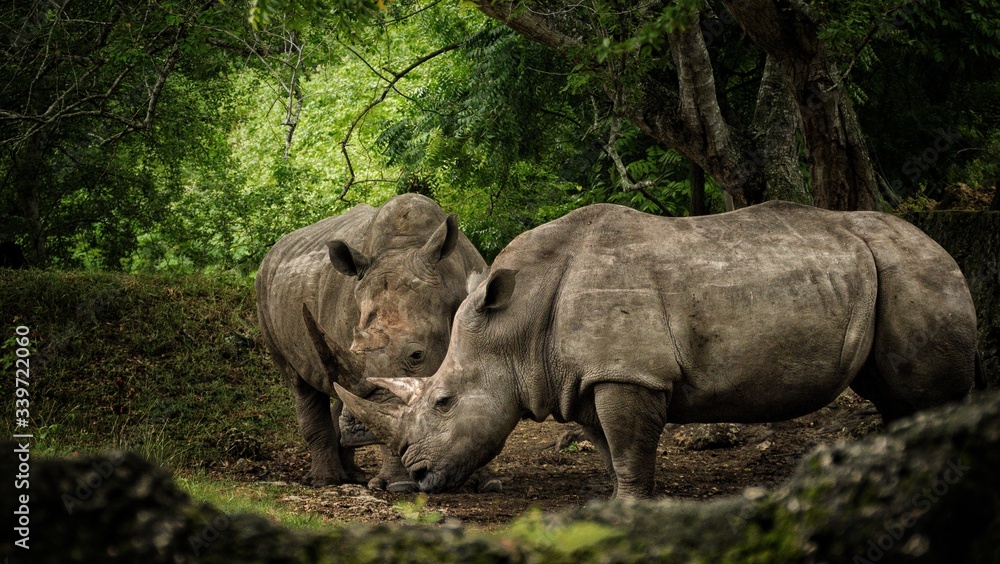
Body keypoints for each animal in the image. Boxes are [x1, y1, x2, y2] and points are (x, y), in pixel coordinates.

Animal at [255, 193, 486, 490]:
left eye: (417, 355)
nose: (360, 431)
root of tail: (272, 252)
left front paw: (484, 482)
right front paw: (400, 486)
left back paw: (352, 475)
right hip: (263, 290)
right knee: (300, 383)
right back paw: (326, 480)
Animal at [338, 201, 979, 499]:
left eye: (443, 402)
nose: (417, 475)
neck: (515, 327)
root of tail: (940, 244)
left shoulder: (628, 371)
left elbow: (627, 445)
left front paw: (629, 506)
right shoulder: (584, 376)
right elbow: (607, 445)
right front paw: (615, 502)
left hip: (915, 269)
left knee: (923, 392)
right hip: (885, 270)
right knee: (892, 394)